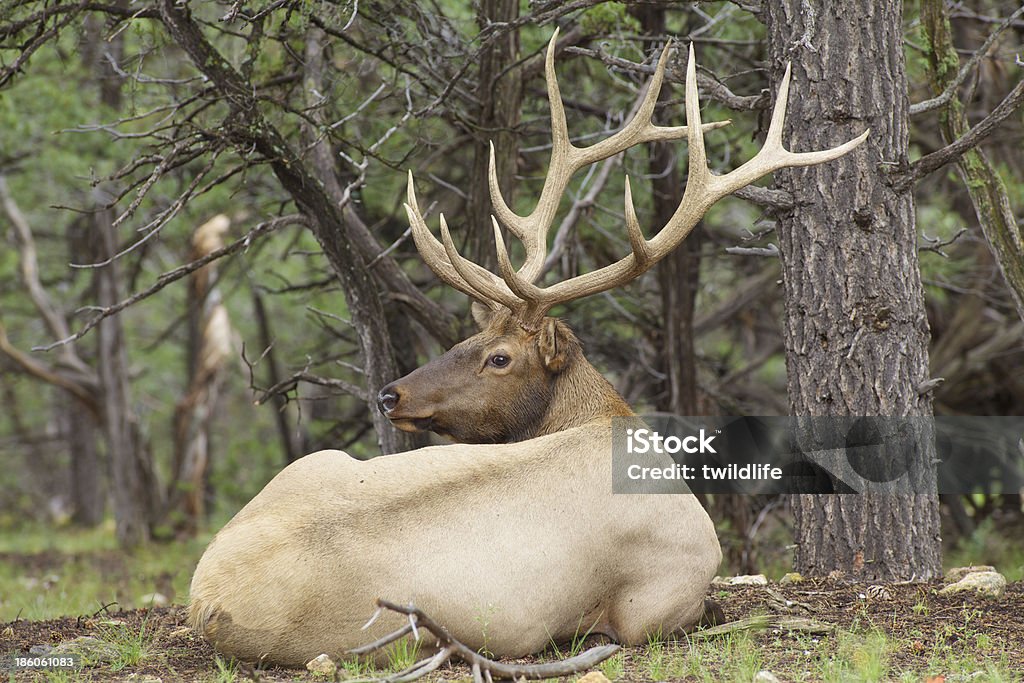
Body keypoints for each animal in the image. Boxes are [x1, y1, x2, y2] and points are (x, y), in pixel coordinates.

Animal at [190, 29, 864, 675]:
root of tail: (203, 601)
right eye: (469, 340)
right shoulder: (660, 595)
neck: (609, 421)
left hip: (316, 461)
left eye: (497, 355)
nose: (389, 393)